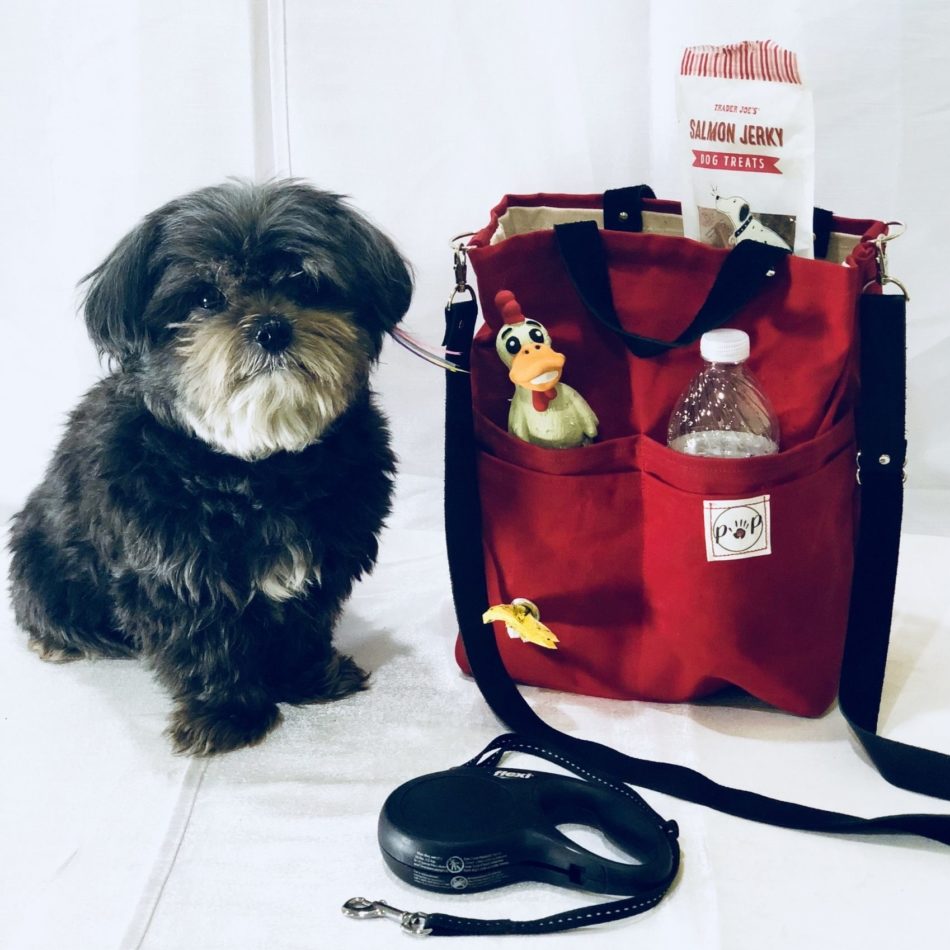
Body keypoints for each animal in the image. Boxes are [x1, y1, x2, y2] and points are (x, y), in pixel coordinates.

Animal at [7, 180, 412, 755]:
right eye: (204, 297)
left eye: (305, 283)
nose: (270, 327)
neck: (259, 466)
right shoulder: (174, 574)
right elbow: (203, 643)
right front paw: (228, 714)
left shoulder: (327, 556)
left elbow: (304, 624)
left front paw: (307, 678)